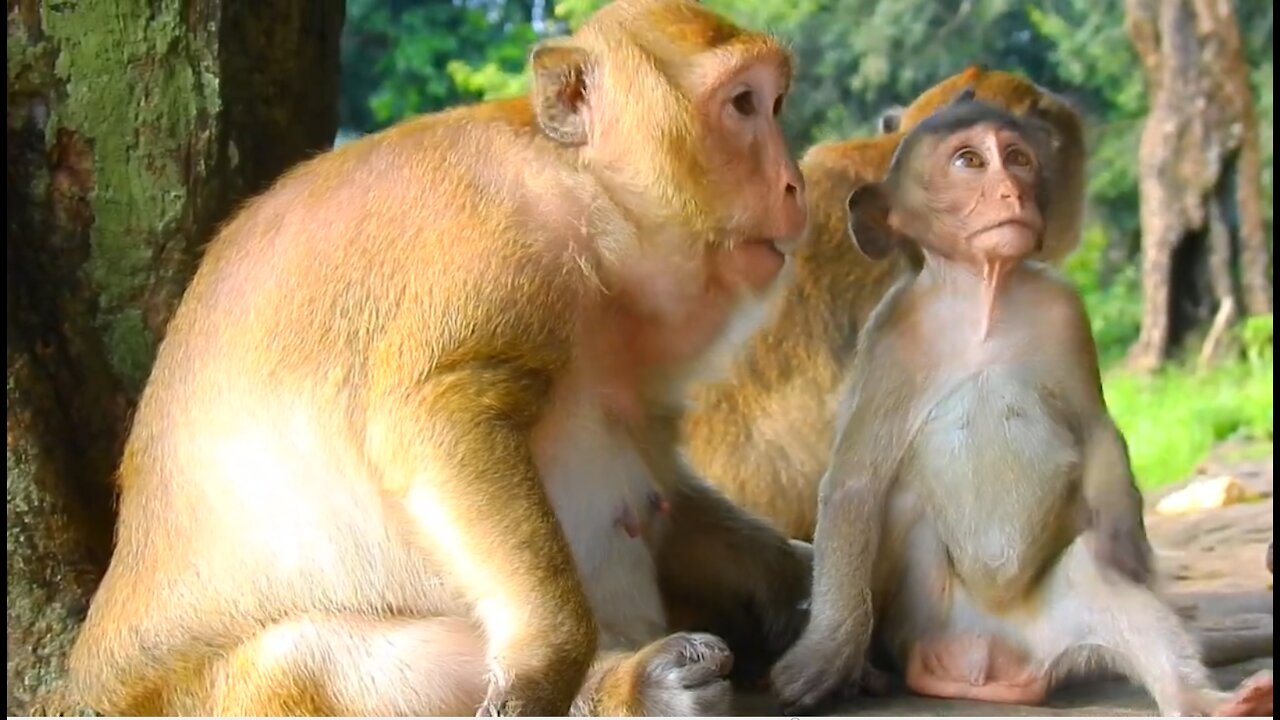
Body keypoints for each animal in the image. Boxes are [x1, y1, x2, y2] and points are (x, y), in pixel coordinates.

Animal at [67, 0, 808, 712]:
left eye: (774, 104)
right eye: (743, 104)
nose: (795, 183)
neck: (591, 212)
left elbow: (667, 502)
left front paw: (792, 578)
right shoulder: (496, 243)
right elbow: (439, 415)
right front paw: (550, 658)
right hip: (190, 696)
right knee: (304, 657)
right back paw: (631, 688)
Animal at [762, 94, 1274, 712]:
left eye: (1018, 158)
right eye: (969, 161)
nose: (1012, 192)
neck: (983, 297)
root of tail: (989, 665)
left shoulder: (1065, 312)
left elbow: (1096, 430)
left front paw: (1125, 540)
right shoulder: (890, 337)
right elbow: (856, 485)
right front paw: (825, 659)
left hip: (1052, 626)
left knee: (1099, 579)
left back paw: (1210, 701)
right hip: (926, 617)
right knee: (895, 504)